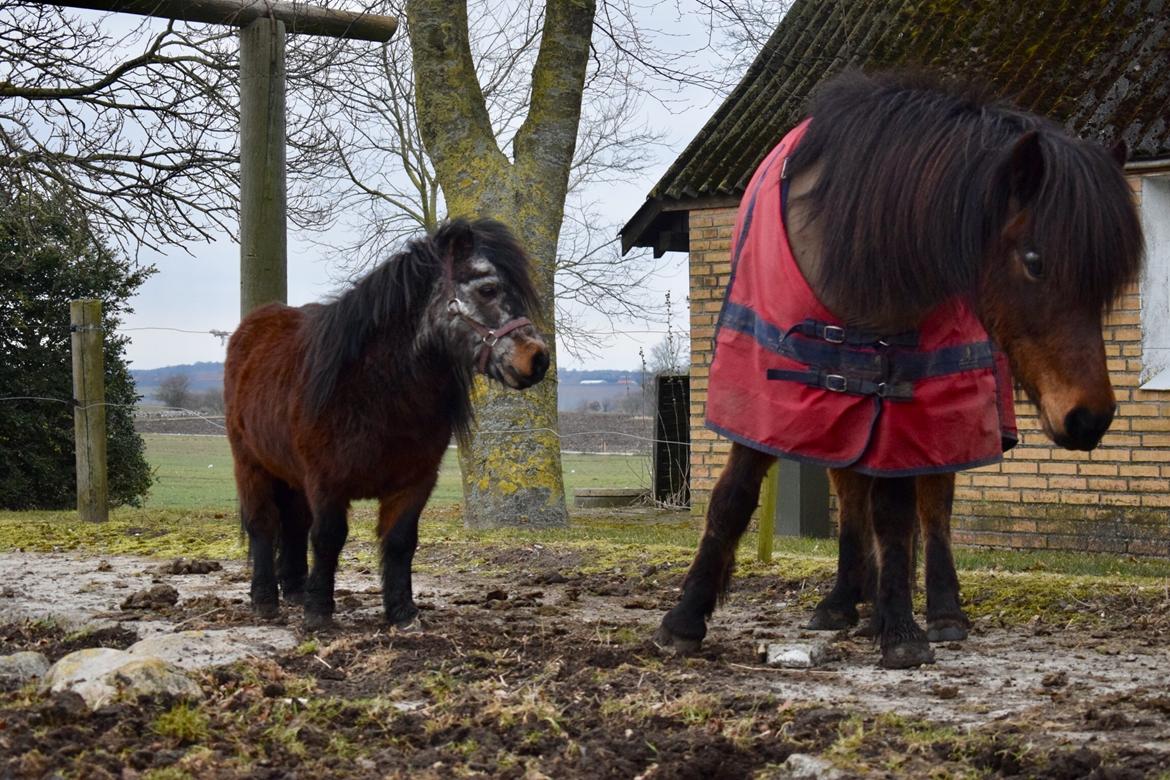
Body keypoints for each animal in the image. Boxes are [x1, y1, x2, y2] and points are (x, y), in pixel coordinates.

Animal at [224, 218, 549, 630]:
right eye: (488, 289)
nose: (537, 359)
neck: (376, 390)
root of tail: (252, 327)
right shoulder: (326, 480)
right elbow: (328, 538)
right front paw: (319, 613)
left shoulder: (414, 482)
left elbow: (399, 542)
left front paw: (402, 613)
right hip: (250, 464)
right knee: (263, 524)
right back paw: (265, 599)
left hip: (290, 474)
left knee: (294, 523)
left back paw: (294, 591)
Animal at [654, 71, 1144, 669]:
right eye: (1033, 260)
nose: (1089, 417)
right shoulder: (764, 392)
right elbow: (733, 497)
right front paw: (685, 618)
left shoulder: (907, 402)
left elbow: (896, 513)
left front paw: (903, 630)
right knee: (850, 491)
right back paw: (845, 603)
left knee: (932, 504)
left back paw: (940, 612)